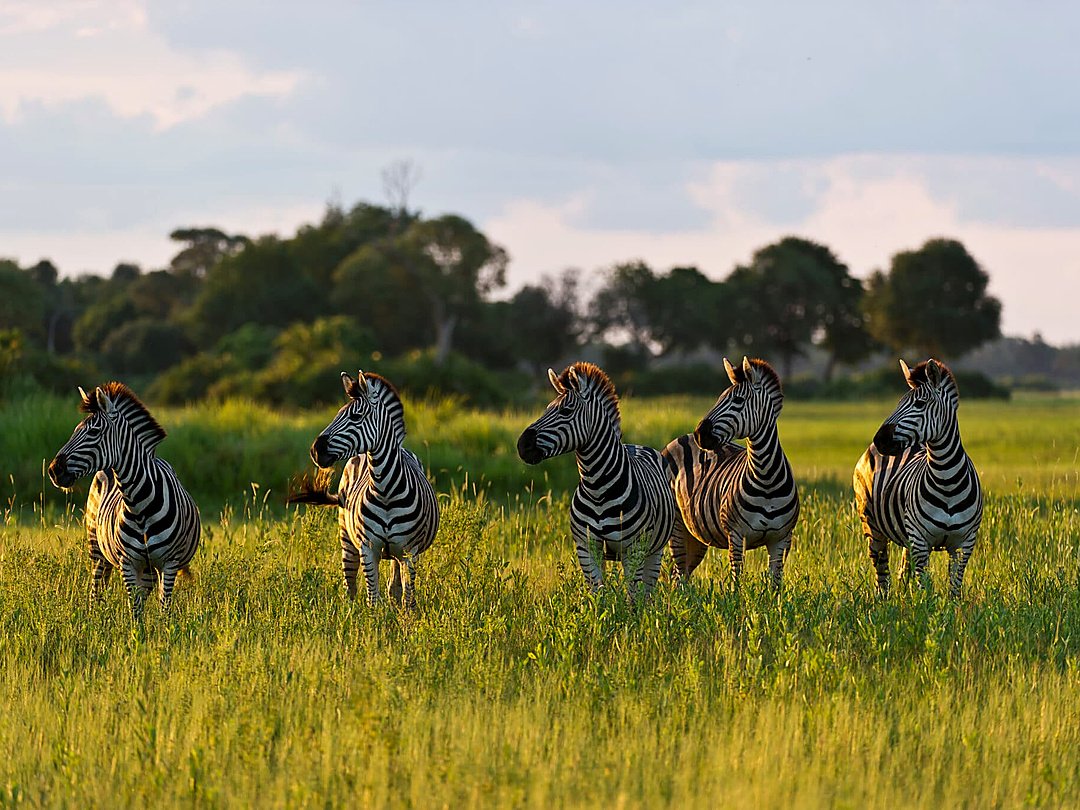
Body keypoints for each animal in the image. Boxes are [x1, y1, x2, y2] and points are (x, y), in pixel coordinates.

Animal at [47, 382, 200, 617]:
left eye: (93, 432)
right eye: (74, 431)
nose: (54, 471)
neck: (140, 506)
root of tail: (107, 469)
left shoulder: (169, 563)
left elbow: (163, 608)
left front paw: (164, 628)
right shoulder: (127, 563)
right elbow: (135, 609)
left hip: (149, 568)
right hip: (97, 549)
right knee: (96, 590)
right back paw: (94, 620)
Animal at [288, 371, 439, 607]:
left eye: (356, 417)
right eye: (337, 414)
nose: (315, 450)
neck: (385, 490)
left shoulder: (409, 552)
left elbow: (408, 599)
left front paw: (406, 618)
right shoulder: (368, 549)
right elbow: (373, 599)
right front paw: (373, 619)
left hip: (397, 555)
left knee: (394, 587)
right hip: (346, 538)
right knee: (350, 586)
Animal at [516, 362, 676, 599]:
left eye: (565, 411)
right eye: (546, 409)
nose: (522, 446)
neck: (598, 488)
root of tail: (636, 445)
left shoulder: (633, 549)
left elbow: (632, 598)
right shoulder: (586, 547)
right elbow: (598, 595)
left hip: (655, 550)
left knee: (647, 593)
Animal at [664, 357, 800, 590]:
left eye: (737, 400)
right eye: (719, 398)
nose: (700, 434)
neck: (767, 478)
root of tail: (682, 437)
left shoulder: (782, 539)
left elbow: (775, 586)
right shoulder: (736, 536)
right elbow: (736, 583)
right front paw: (737, 601)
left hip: (696, 535)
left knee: (682, 574)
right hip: (677, 527)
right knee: (678, 575)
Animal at [853, 359, 983, 598]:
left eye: (920, 404)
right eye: (898, 403)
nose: (880, 439)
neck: (947, 480)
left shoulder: (964, 544)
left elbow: (954, 588)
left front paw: (952, 608)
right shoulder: (921, 541)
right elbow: (925, 589)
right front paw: (924, 607)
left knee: (902, 571)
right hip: (872, 527)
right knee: (881, 573)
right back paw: (883, 602)